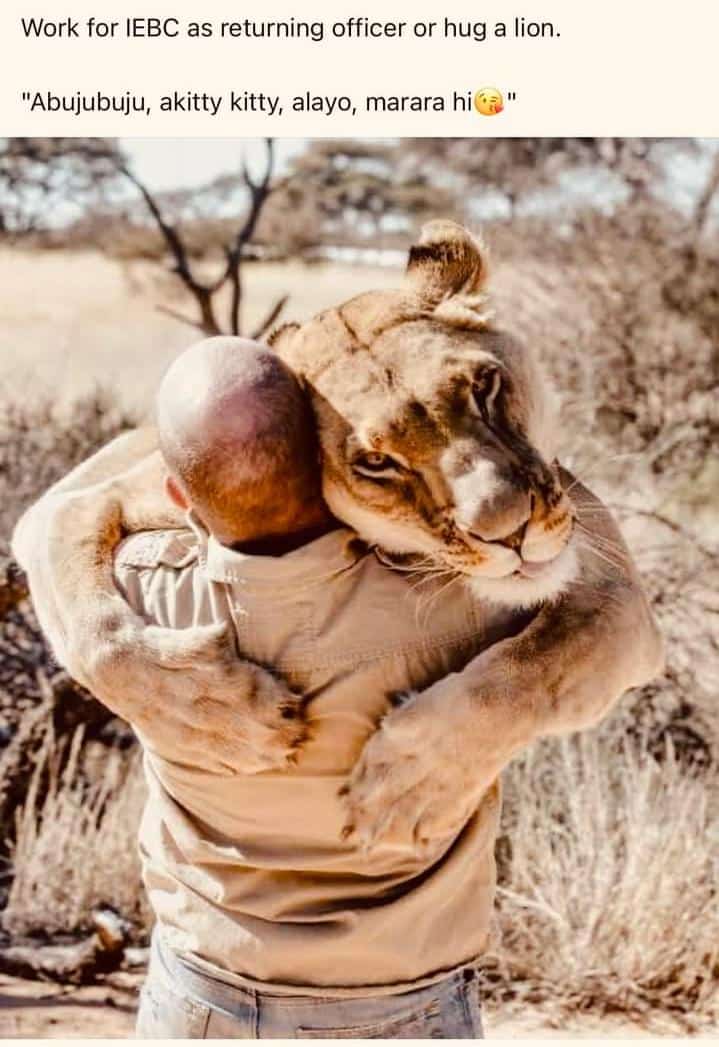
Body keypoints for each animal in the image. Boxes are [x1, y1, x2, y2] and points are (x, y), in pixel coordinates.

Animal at [13, 220, 663, 848]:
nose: (510, 530)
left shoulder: (610, 583)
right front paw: (217, 714)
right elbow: (97, 630)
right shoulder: (78, 499)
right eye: (377, 463)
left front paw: (414, 779)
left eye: (485, 388)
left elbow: (542, 662)